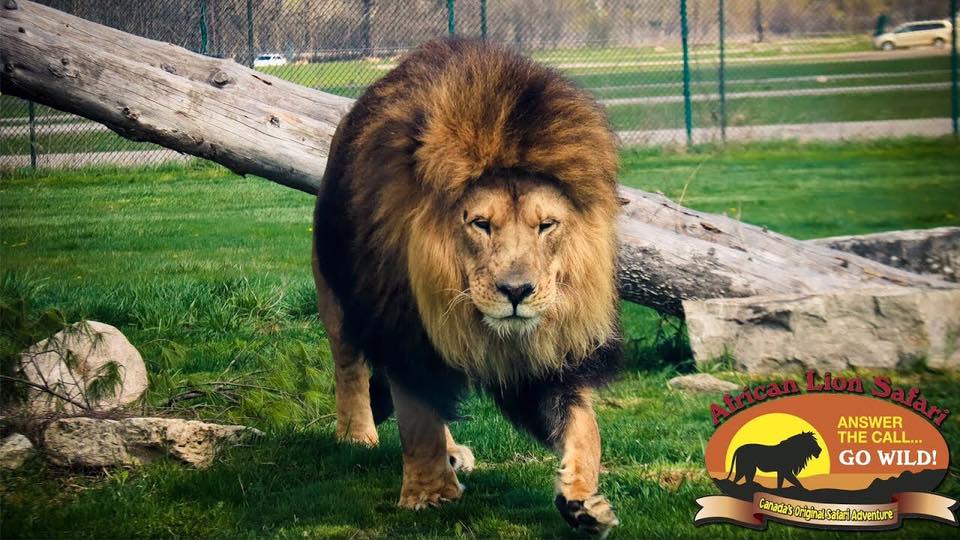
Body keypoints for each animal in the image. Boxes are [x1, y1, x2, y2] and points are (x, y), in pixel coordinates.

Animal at [311, 38, 622, 535]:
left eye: (546, 225)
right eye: (480, 223)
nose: (517, 291)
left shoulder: (549, 357)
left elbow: (584, 426)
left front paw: (583, 501)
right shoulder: (405, 332)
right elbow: (417, 418)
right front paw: (430, 495)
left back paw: (453, 452)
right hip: (335, 292)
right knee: (351, 368)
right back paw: (358, 435)